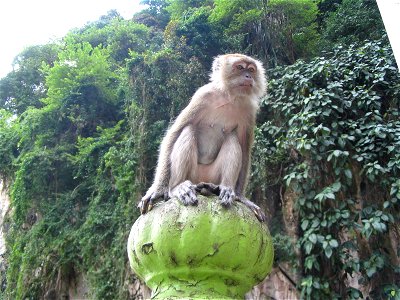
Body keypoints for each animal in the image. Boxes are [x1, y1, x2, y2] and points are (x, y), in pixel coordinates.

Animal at [139, 53, 268, 223]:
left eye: (251, 70)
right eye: (240, 67)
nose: (248, 76)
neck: (229, 98)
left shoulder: (249, 111)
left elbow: (245, 150)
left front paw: (241, 197)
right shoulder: (202, 96)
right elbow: (174, 134)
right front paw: (158, 189)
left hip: (212, 176)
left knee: (232, 138)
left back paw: (221, 188)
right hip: (193, 175)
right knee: (187, 130)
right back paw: (178, 187)